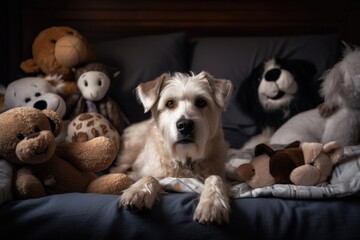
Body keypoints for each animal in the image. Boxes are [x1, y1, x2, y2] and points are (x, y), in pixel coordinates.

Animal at [111, 71, 235, 225]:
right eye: (170, 103)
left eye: (201, 102)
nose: (185, 125)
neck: (186, 159)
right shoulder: (143, 173)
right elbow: (149, 176)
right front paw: (138, 192)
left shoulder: (220, 175)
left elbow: (215, 178)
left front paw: (212, 204)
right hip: (127, 156)